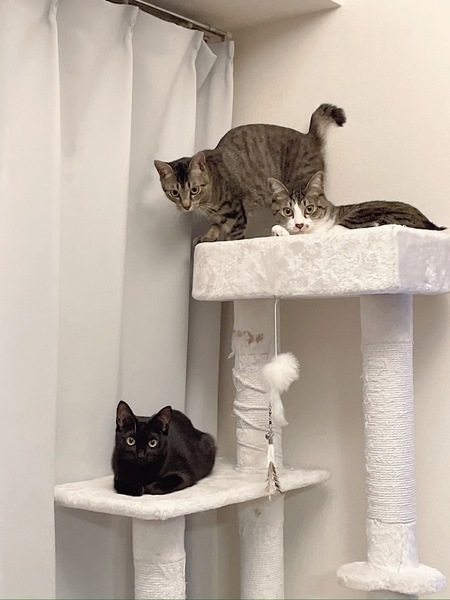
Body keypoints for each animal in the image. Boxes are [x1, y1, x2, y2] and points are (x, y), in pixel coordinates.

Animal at [154, 103, 346, 245]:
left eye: (194, 190)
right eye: (174, 192)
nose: (186, 206)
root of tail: (309, 136)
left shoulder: (236, 213)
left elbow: (234, 236)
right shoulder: (217, 216)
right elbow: (215, 226)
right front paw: (208, 237)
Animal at [269, 171, 446, 236]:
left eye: (309, 208)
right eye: (287, 211)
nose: (299, 224)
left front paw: (280, 231)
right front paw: (279, 230)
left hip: (366, 211)